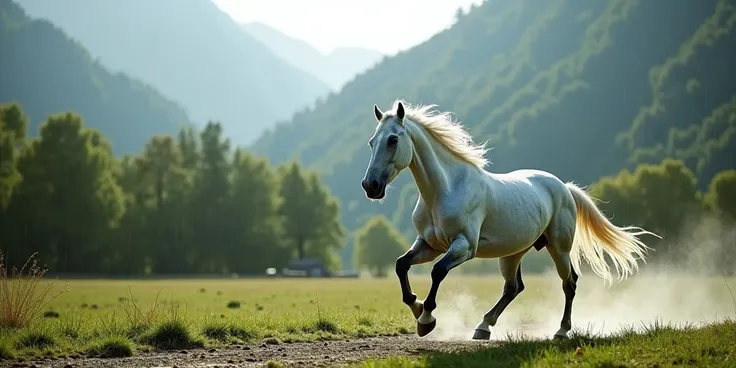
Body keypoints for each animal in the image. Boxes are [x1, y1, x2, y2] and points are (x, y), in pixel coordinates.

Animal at [360, 100, 660, 340]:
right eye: (372, 142)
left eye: (393, 140)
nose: (371, 186)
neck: (445, 189)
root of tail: (563, 187)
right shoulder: (429, 244)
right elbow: (401, 265)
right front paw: (416, 305)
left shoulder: (464, 246)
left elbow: (438, 272)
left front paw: (426, 319)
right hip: (513, 253)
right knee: (514, 287)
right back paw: (483, 327)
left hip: (559, 248)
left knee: (569, 283)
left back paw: (561, 331)